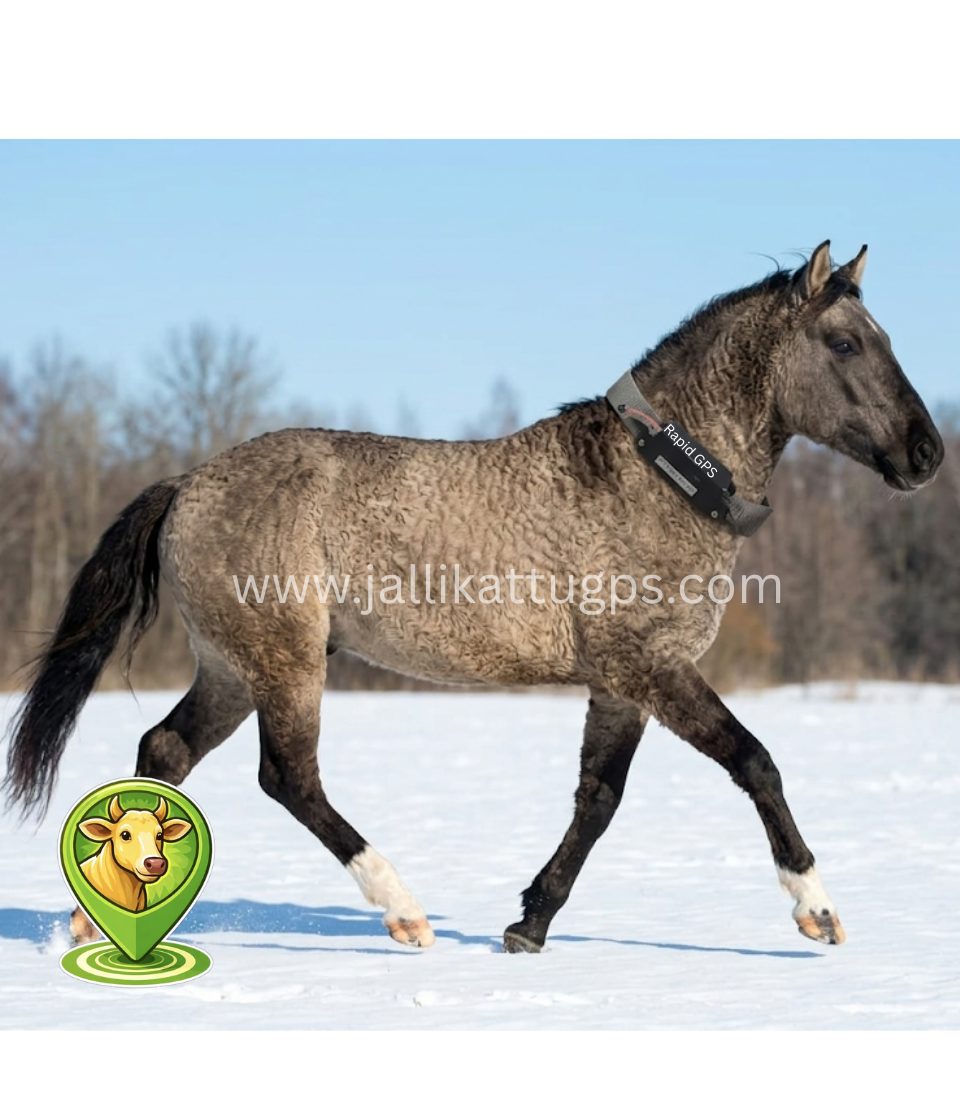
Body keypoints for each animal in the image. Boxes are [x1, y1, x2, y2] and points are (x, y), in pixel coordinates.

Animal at [4, 241, 944, 953]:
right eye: (845, 344)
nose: (926, 451)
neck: (656, 481)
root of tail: (188, 484)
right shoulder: (654, 665)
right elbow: (755, 760)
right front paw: (816, 908)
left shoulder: (622, 683)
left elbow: (598, 801)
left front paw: (529, 923)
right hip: (284, 662)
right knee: (289, 776)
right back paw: (402, 910)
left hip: (233, 669)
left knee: (166, 749)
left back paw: (102, 920)